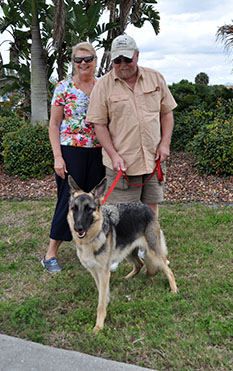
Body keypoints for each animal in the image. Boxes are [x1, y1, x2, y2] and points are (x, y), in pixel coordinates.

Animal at [67, 176, 178, 336]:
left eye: (89, 209)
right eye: (74, 209)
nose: (78, 228)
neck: (92, 239)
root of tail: (147, 208)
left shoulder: (103, 272)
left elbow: (100, 303)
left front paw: (99, 325)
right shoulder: (95, 272)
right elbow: (102, 292)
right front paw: (107, 302)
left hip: (153, 253)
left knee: (168, 270)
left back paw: (174, 290)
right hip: (128, 251)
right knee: (140, 264)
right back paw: (127, 278)